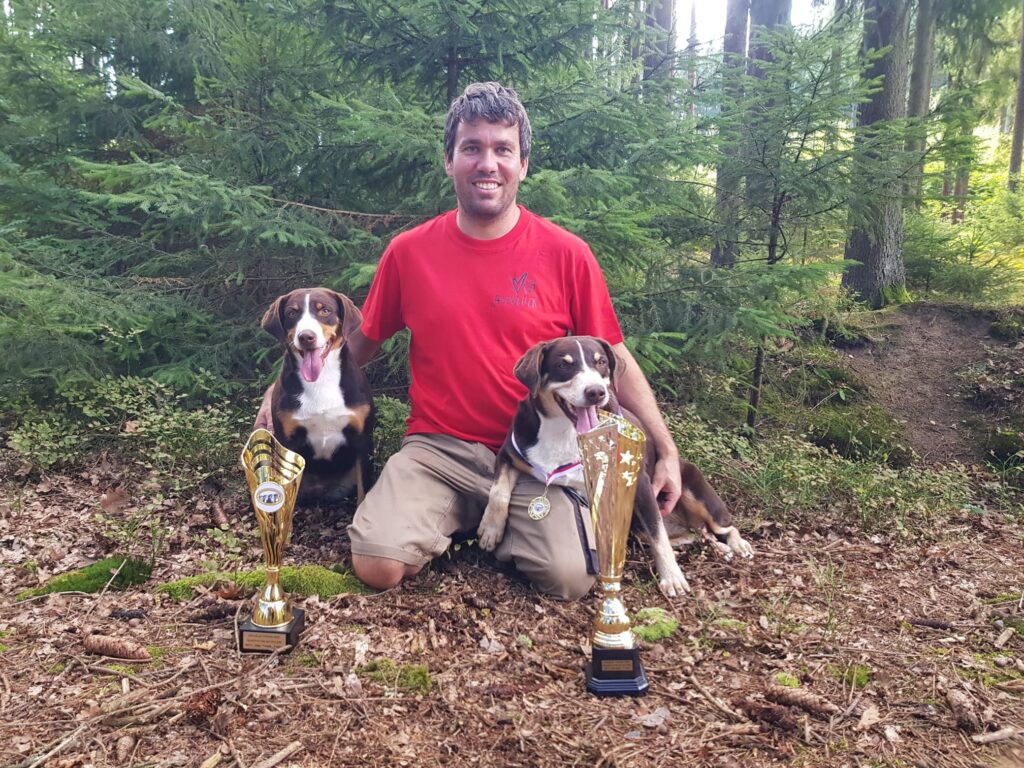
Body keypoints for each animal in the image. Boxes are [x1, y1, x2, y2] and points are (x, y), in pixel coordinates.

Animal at [261, 287, 375, 504]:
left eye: (325, 310)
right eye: (292, 313)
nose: (306, 336)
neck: (321, 381)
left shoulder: (362, 440)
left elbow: (364, 492)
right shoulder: (287, 440)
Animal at [476, 336, 752, 598]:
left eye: (601, 363)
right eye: (563, 365)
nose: (595, 392)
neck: (566, 432)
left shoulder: (638, 484)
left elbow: (658, 535)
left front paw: (672, 578)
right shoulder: (509, 455)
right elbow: (498, 492)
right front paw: (491, 529)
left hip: (694, 492)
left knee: (722, 525)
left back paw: (737, 546)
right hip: (646, 529)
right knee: (699, 534)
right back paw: (720, 549)